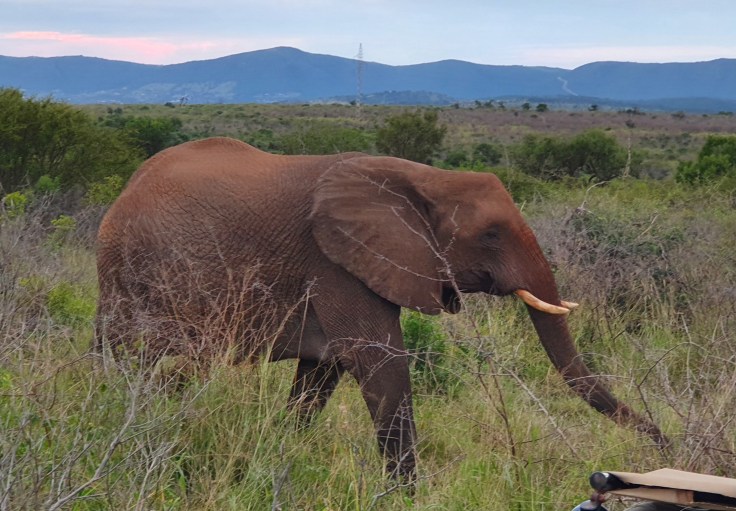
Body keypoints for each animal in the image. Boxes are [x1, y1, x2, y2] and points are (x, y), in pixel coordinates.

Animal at [95, 137, 665, 482]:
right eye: (490, 234)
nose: (663, 445)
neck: (425, 178)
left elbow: (319, 376)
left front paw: (281, 453)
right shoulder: (337, 264)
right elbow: (381, 365)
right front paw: (407, 496)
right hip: (127, 274)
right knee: (133, 358)